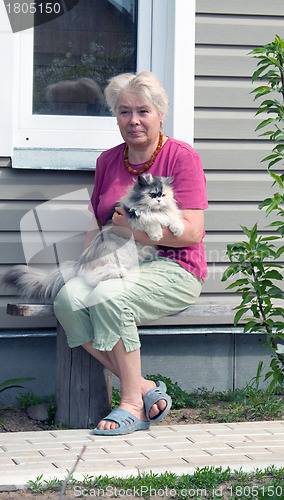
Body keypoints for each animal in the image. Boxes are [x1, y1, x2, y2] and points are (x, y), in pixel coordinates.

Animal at [3, 174, 185, 302]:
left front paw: (177, 230)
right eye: (152, 194)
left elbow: (173, 218)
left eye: (163, 194)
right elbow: (149, 221)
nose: (159, 200)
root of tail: (79, 264)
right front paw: (157, 234)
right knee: (94, 277)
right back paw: (119, 273)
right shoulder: (134, 218)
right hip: (111, 258)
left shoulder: (168, 214)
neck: (156, 210)